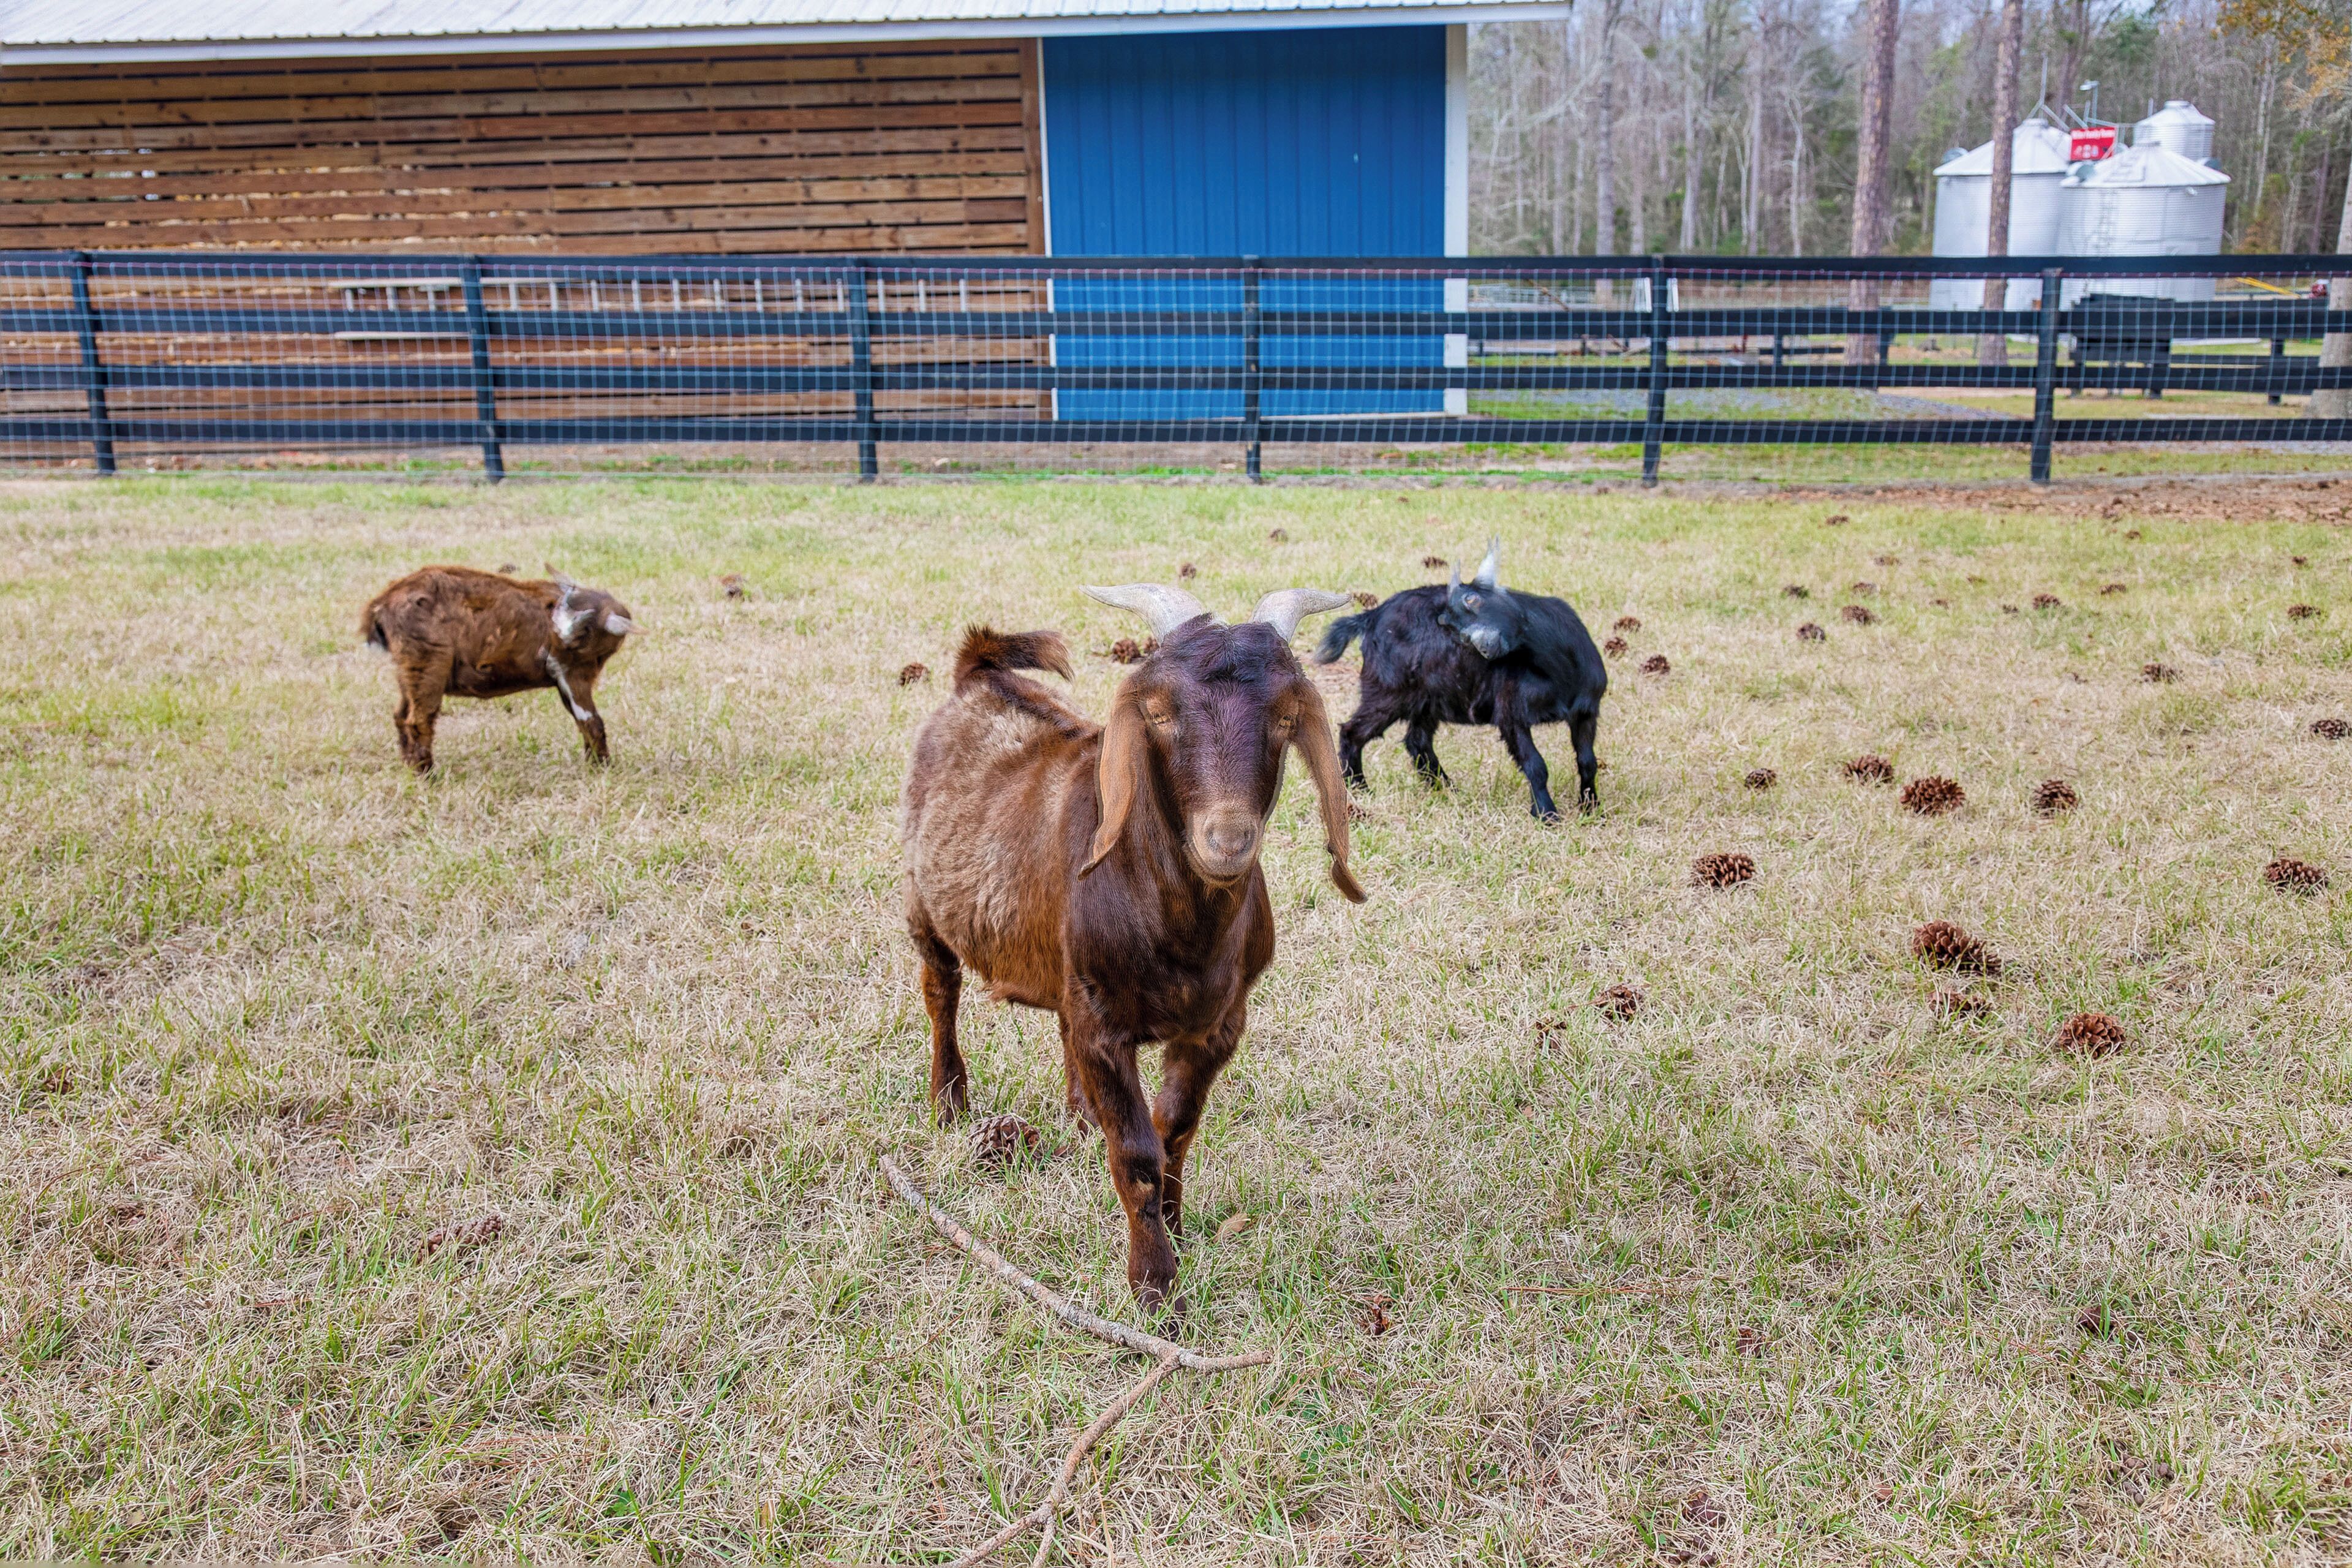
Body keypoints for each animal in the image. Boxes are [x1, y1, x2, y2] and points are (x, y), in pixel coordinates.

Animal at [360, 566, 636, 772]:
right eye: (582, 630)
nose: (545, 655)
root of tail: (382, 604)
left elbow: (583, 722)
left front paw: (594, 764)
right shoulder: (574, 672)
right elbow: (591, 721)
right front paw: (602, 768)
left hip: (408, 672)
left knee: (400, 716)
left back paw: (410, 767)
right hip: (428, 666)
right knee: (418, 720)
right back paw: (427, 775)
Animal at [900, 582, 1362, 1308]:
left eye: (1288, 716)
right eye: (1159, 713)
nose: (1227, 840)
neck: (1180, 933)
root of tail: (980, 672)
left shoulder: (1219, 1024)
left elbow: (1176, 1126)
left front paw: (1176, 1222)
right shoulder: (1104, 1027)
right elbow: (1138, 1152)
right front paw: (1154, 1285)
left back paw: (1079, 1118)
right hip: (926, 904)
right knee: (939, 993)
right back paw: (950, 1103)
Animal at [1314, 540, 1606, 820]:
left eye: (1473, 599)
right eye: (1456, 630)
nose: (1485, 645)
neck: (1560, 671)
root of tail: (1371, 617)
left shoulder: (1586, 713)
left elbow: (1587, 761)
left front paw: (1592, 808)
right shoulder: (1512, 714)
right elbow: (1536, 765)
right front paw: (1547, 814)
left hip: (1427, 699)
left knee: (1417, 741)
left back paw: (1446, 789)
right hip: (1388, 692)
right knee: (1353, 731)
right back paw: (1359, 787)